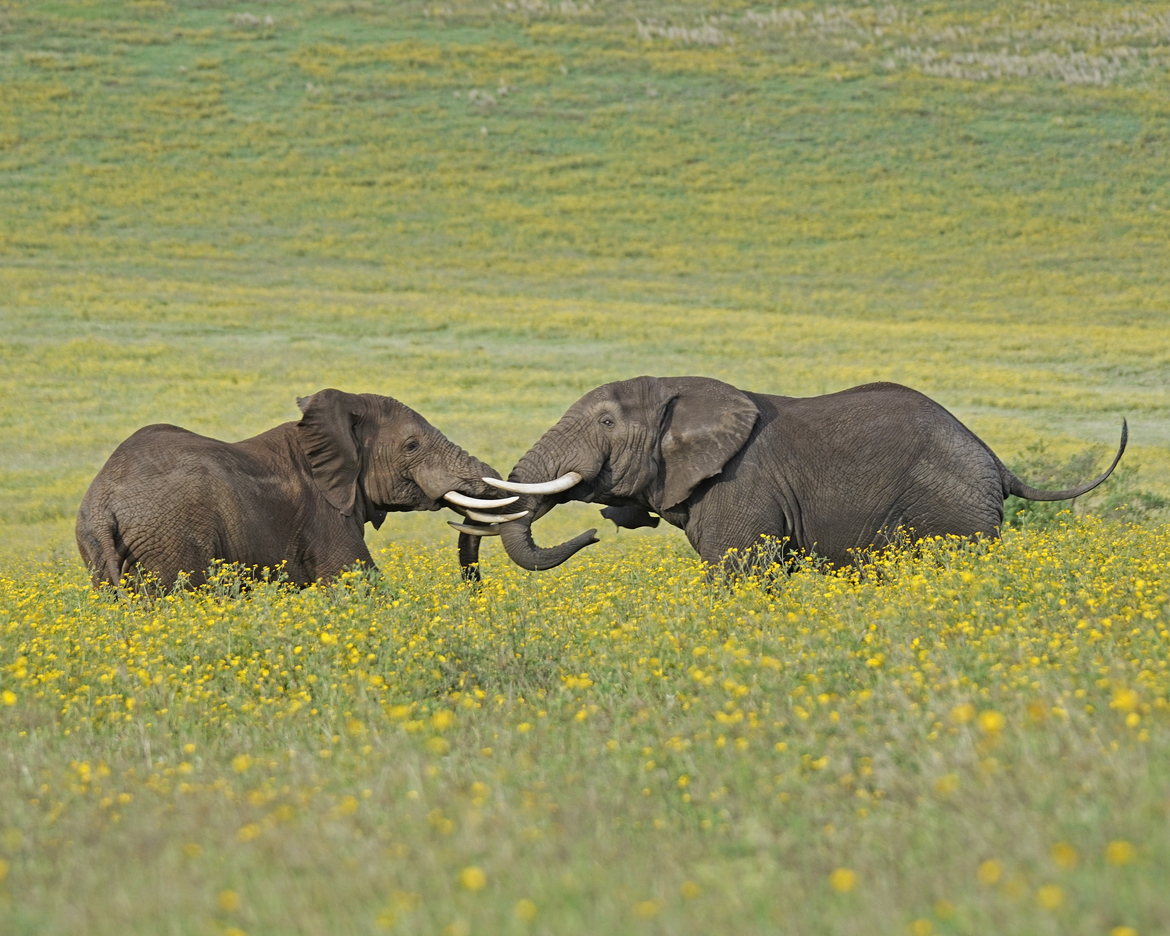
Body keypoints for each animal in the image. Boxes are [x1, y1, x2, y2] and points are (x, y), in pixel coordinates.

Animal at [76, 389, 523, 590]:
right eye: (412, 446)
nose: (473, 587)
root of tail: (102, 504)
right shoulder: (323, 510)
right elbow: (354, 576)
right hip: (171, 535)